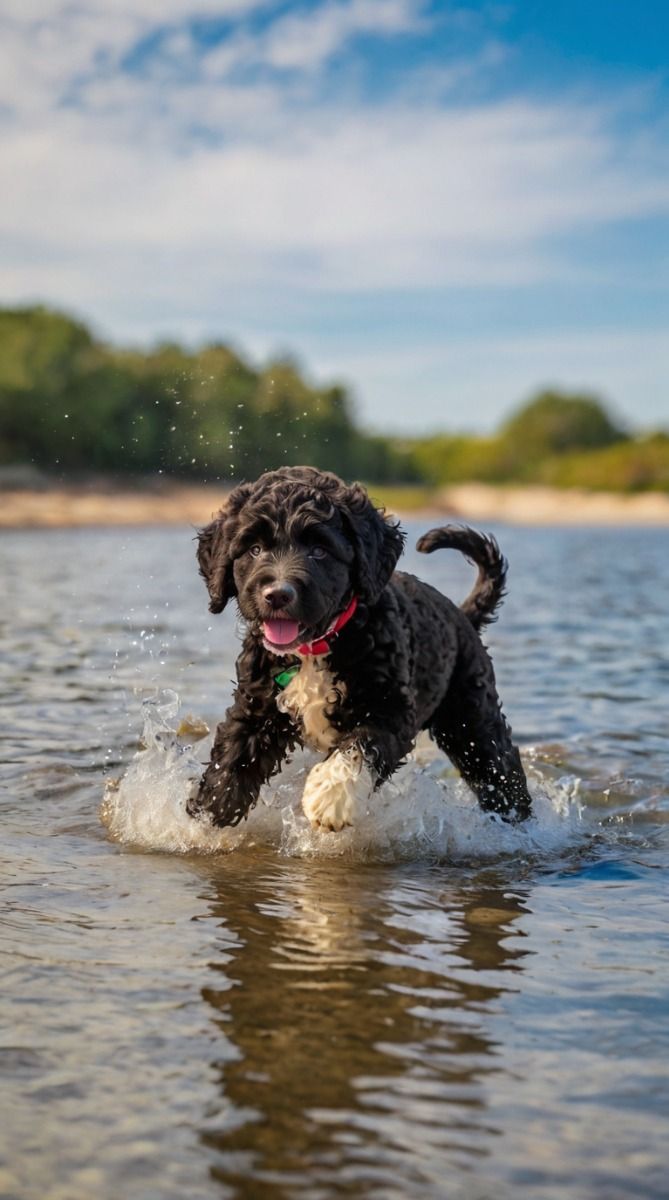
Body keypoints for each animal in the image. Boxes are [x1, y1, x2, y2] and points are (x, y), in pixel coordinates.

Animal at [189, 463, 534, 830]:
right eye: (254, 549)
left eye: (320, 550)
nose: (278, 594)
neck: (315, 649)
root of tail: (462, 614)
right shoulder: (255, 709)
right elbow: (230, 764)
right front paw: (203, 819)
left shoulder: (391, 709)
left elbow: (360, 744)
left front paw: (329, 794)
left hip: (471, 721)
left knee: (501, 774)